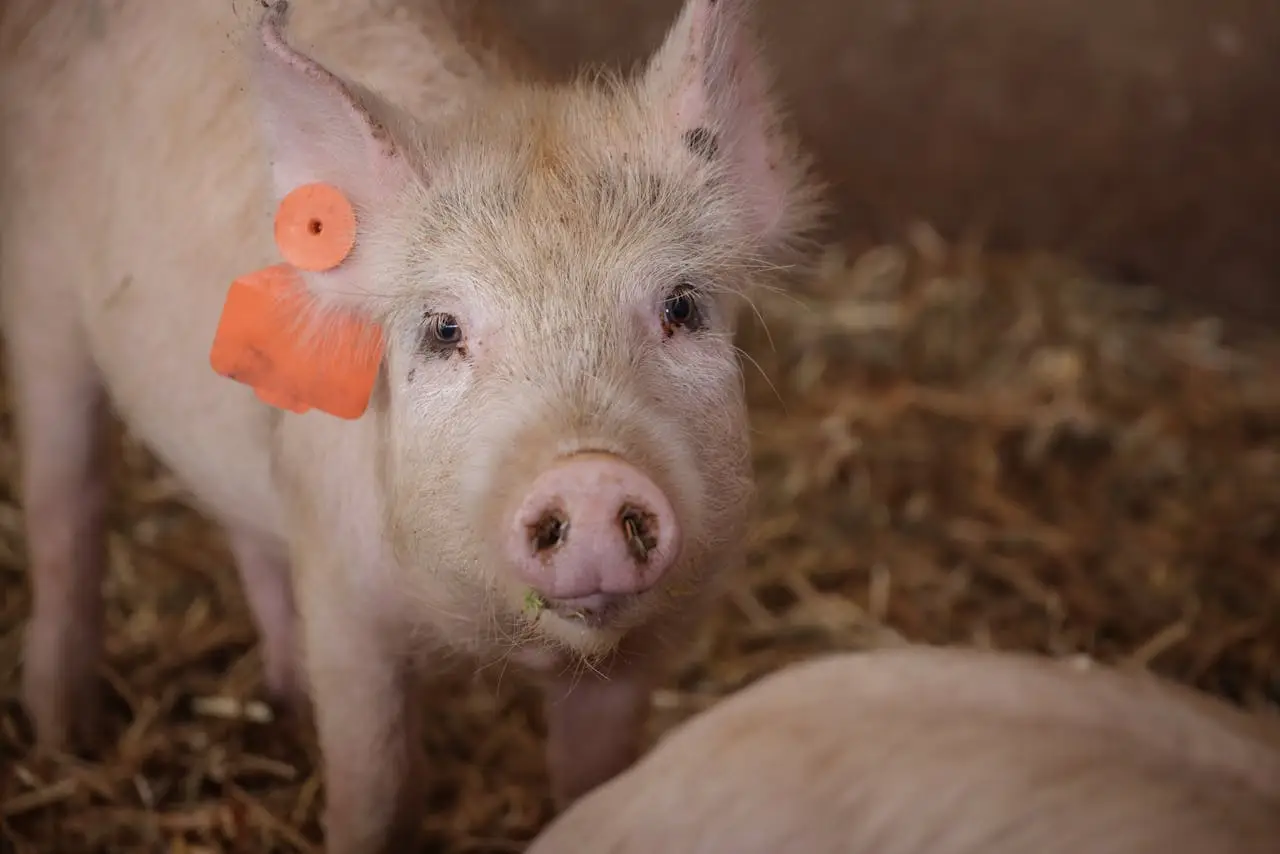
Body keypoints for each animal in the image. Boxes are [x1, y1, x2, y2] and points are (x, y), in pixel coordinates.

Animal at [0, 0, 824, 851]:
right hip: (38, 296)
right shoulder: (344, 597)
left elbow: (593, 781)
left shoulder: (645, 646)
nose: (590, 472)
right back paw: (64, 733)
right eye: (444, 330)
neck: (492, 637)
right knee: (66, 506)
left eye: (681, 307)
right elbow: (378, 787)